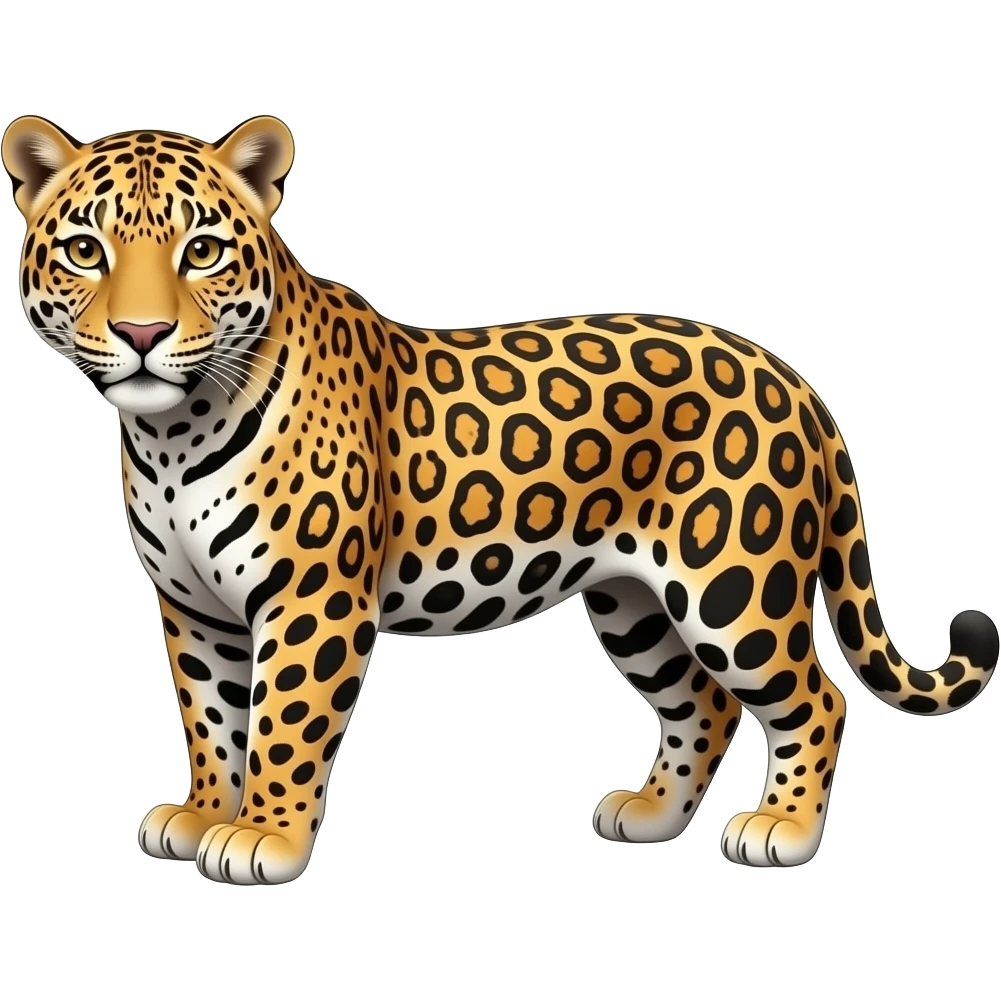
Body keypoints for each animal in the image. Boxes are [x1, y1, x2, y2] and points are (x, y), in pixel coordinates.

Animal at [4, 113, 998, 883]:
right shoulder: (192, 606)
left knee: (814, 698)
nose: (141, 333)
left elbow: (284, 721)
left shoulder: (311, 600)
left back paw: (780, 830)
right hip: (632, 601)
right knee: (702, 705)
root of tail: (790, 375)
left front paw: (262, 839)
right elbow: (212, 718)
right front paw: (205, 812)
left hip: (733, 590)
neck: (172, 436)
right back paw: (650, 813)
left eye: (202, 251)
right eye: (86, 252)